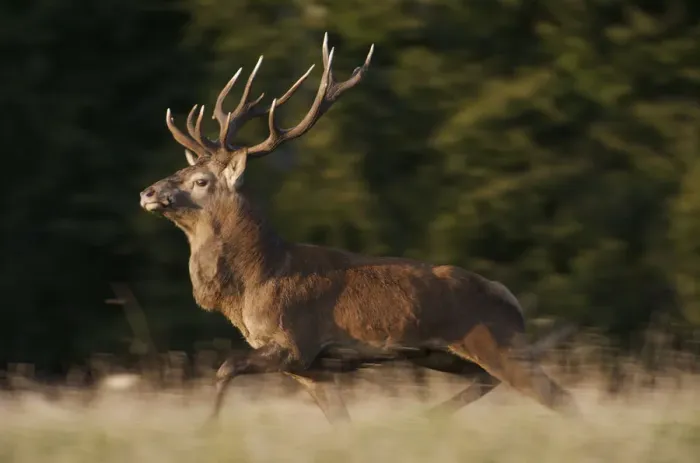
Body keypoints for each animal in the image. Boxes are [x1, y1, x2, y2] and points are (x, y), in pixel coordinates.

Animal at [139, 33, 579, 424]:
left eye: (201, 181)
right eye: (181, 170)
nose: (148, 192)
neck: (254, 281)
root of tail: (511, 300)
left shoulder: (295, 342)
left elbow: (225, 367)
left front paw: (206, 428)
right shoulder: (311, 367)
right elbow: (339, 420)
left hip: (496, 342)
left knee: (561, 397)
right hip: (450, 355)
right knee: (495, 383)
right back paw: (430, 416)